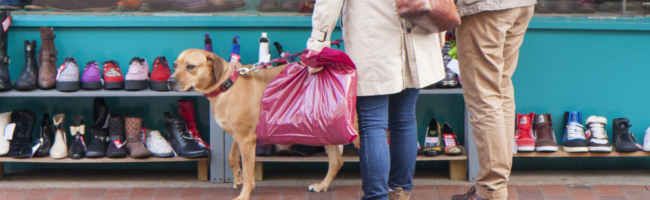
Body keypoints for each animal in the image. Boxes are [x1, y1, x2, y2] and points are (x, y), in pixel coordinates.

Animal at [172, 48, 344, 200]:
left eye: (190, 67)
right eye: (175, 65)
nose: (169, 81)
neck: (226, 85)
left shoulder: (246, 139)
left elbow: (249, 172)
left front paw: (244, 194)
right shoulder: (238, 135)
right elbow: (232, 157)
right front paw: (238, 179)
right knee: (336, 161)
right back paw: (322, 185)